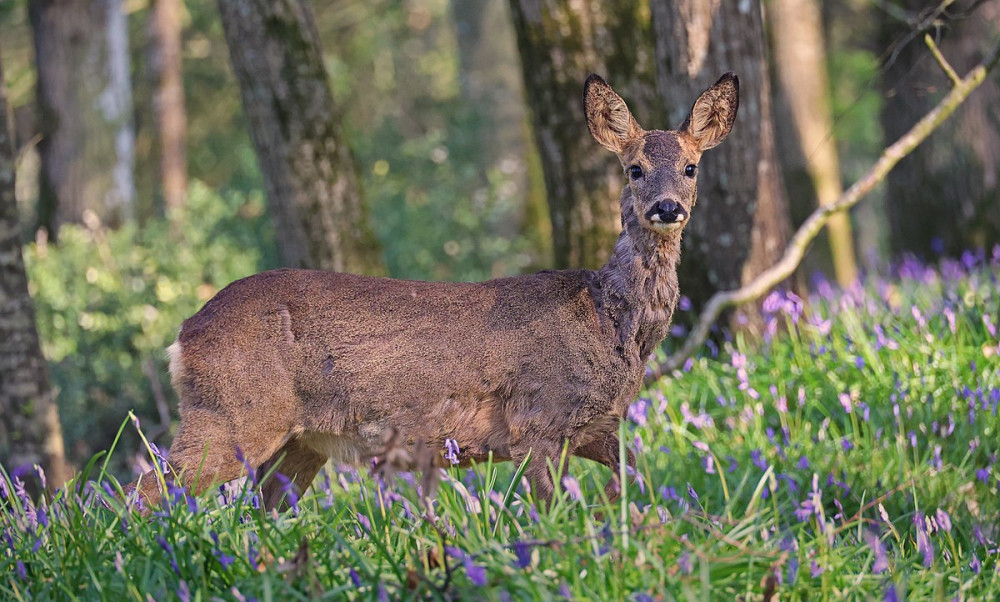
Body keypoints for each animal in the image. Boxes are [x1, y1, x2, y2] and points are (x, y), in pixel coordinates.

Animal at [125, 72, 740, 508]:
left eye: (691, 166)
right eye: (634, 168)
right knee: (143, 494)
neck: (611, 322)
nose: (667, 207)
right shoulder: (537, 420)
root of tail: (183, 334)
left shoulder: (600, 427)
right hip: (233, 414)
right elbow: (556, 512)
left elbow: (633, 491)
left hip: (298, 443)